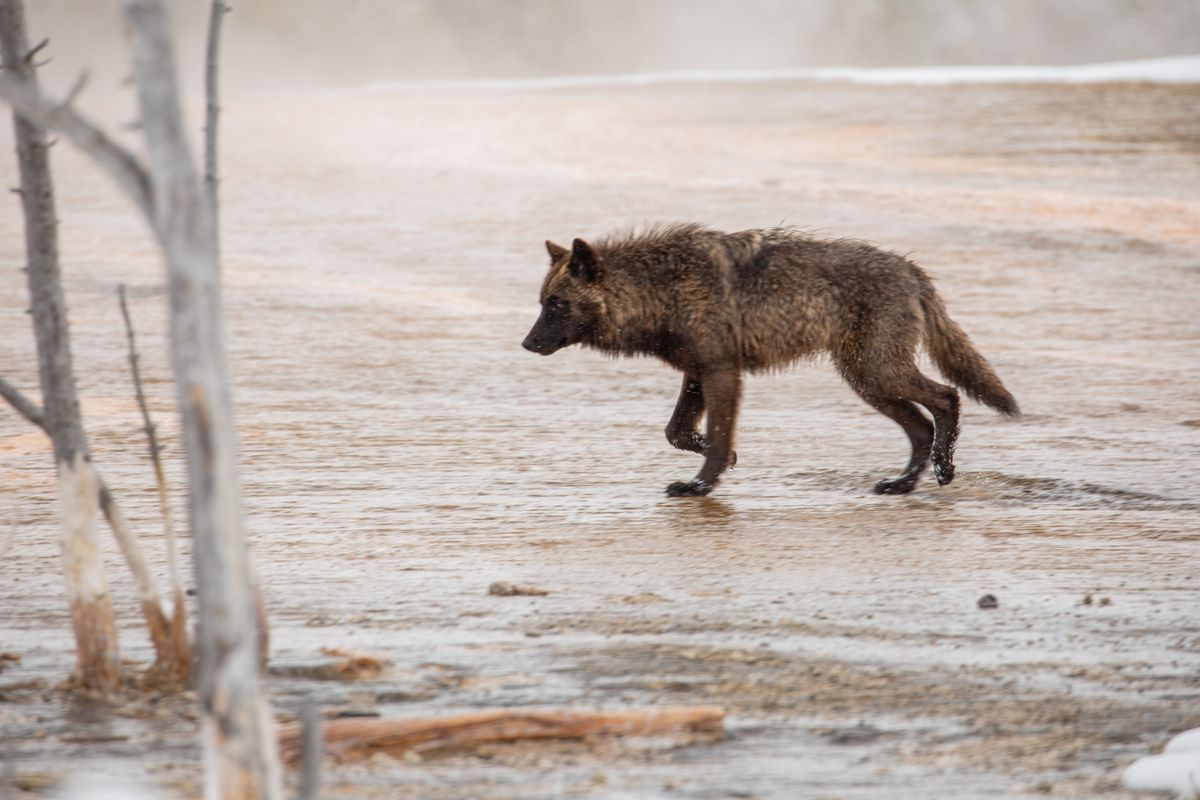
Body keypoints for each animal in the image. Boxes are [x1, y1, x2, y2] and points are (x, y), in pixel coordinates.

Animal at [520, 221, 1017, 496]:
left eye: (556, 305)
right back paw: (902, 484)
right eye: (542, 302)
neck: (659, 290)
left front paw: (700, 485)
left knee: (947, 398)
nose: (526, 344)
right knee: (922, 426)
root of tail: (912, 269)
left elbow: (714, 437)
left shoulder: (723, 373)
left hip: (877, 375)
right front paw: (723, 460)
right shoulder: (698, 374)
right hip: (868, 382)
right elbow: (678, 432)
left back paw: (944, 470)